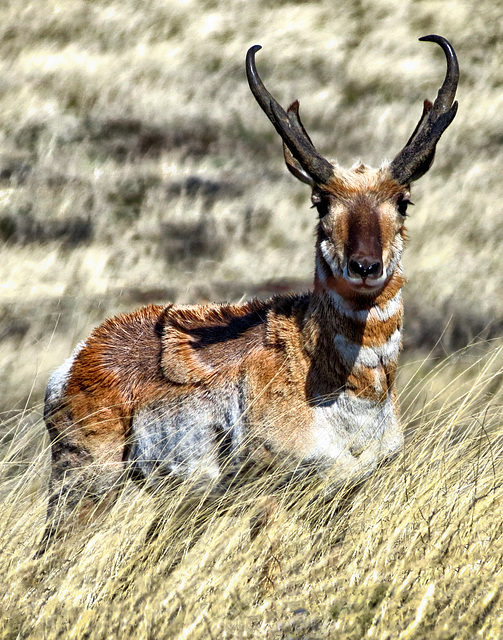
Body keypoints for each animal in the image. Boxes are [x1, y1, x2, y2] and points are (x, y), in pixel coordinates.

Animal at [39, 35, 458, 552]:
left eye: (403, 201)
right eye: (321, 201)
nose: (365, 267)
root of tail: (82, 353)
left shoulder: (345, 496)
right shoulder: (273, 494)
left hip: (178, 504)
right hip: (87, 485)